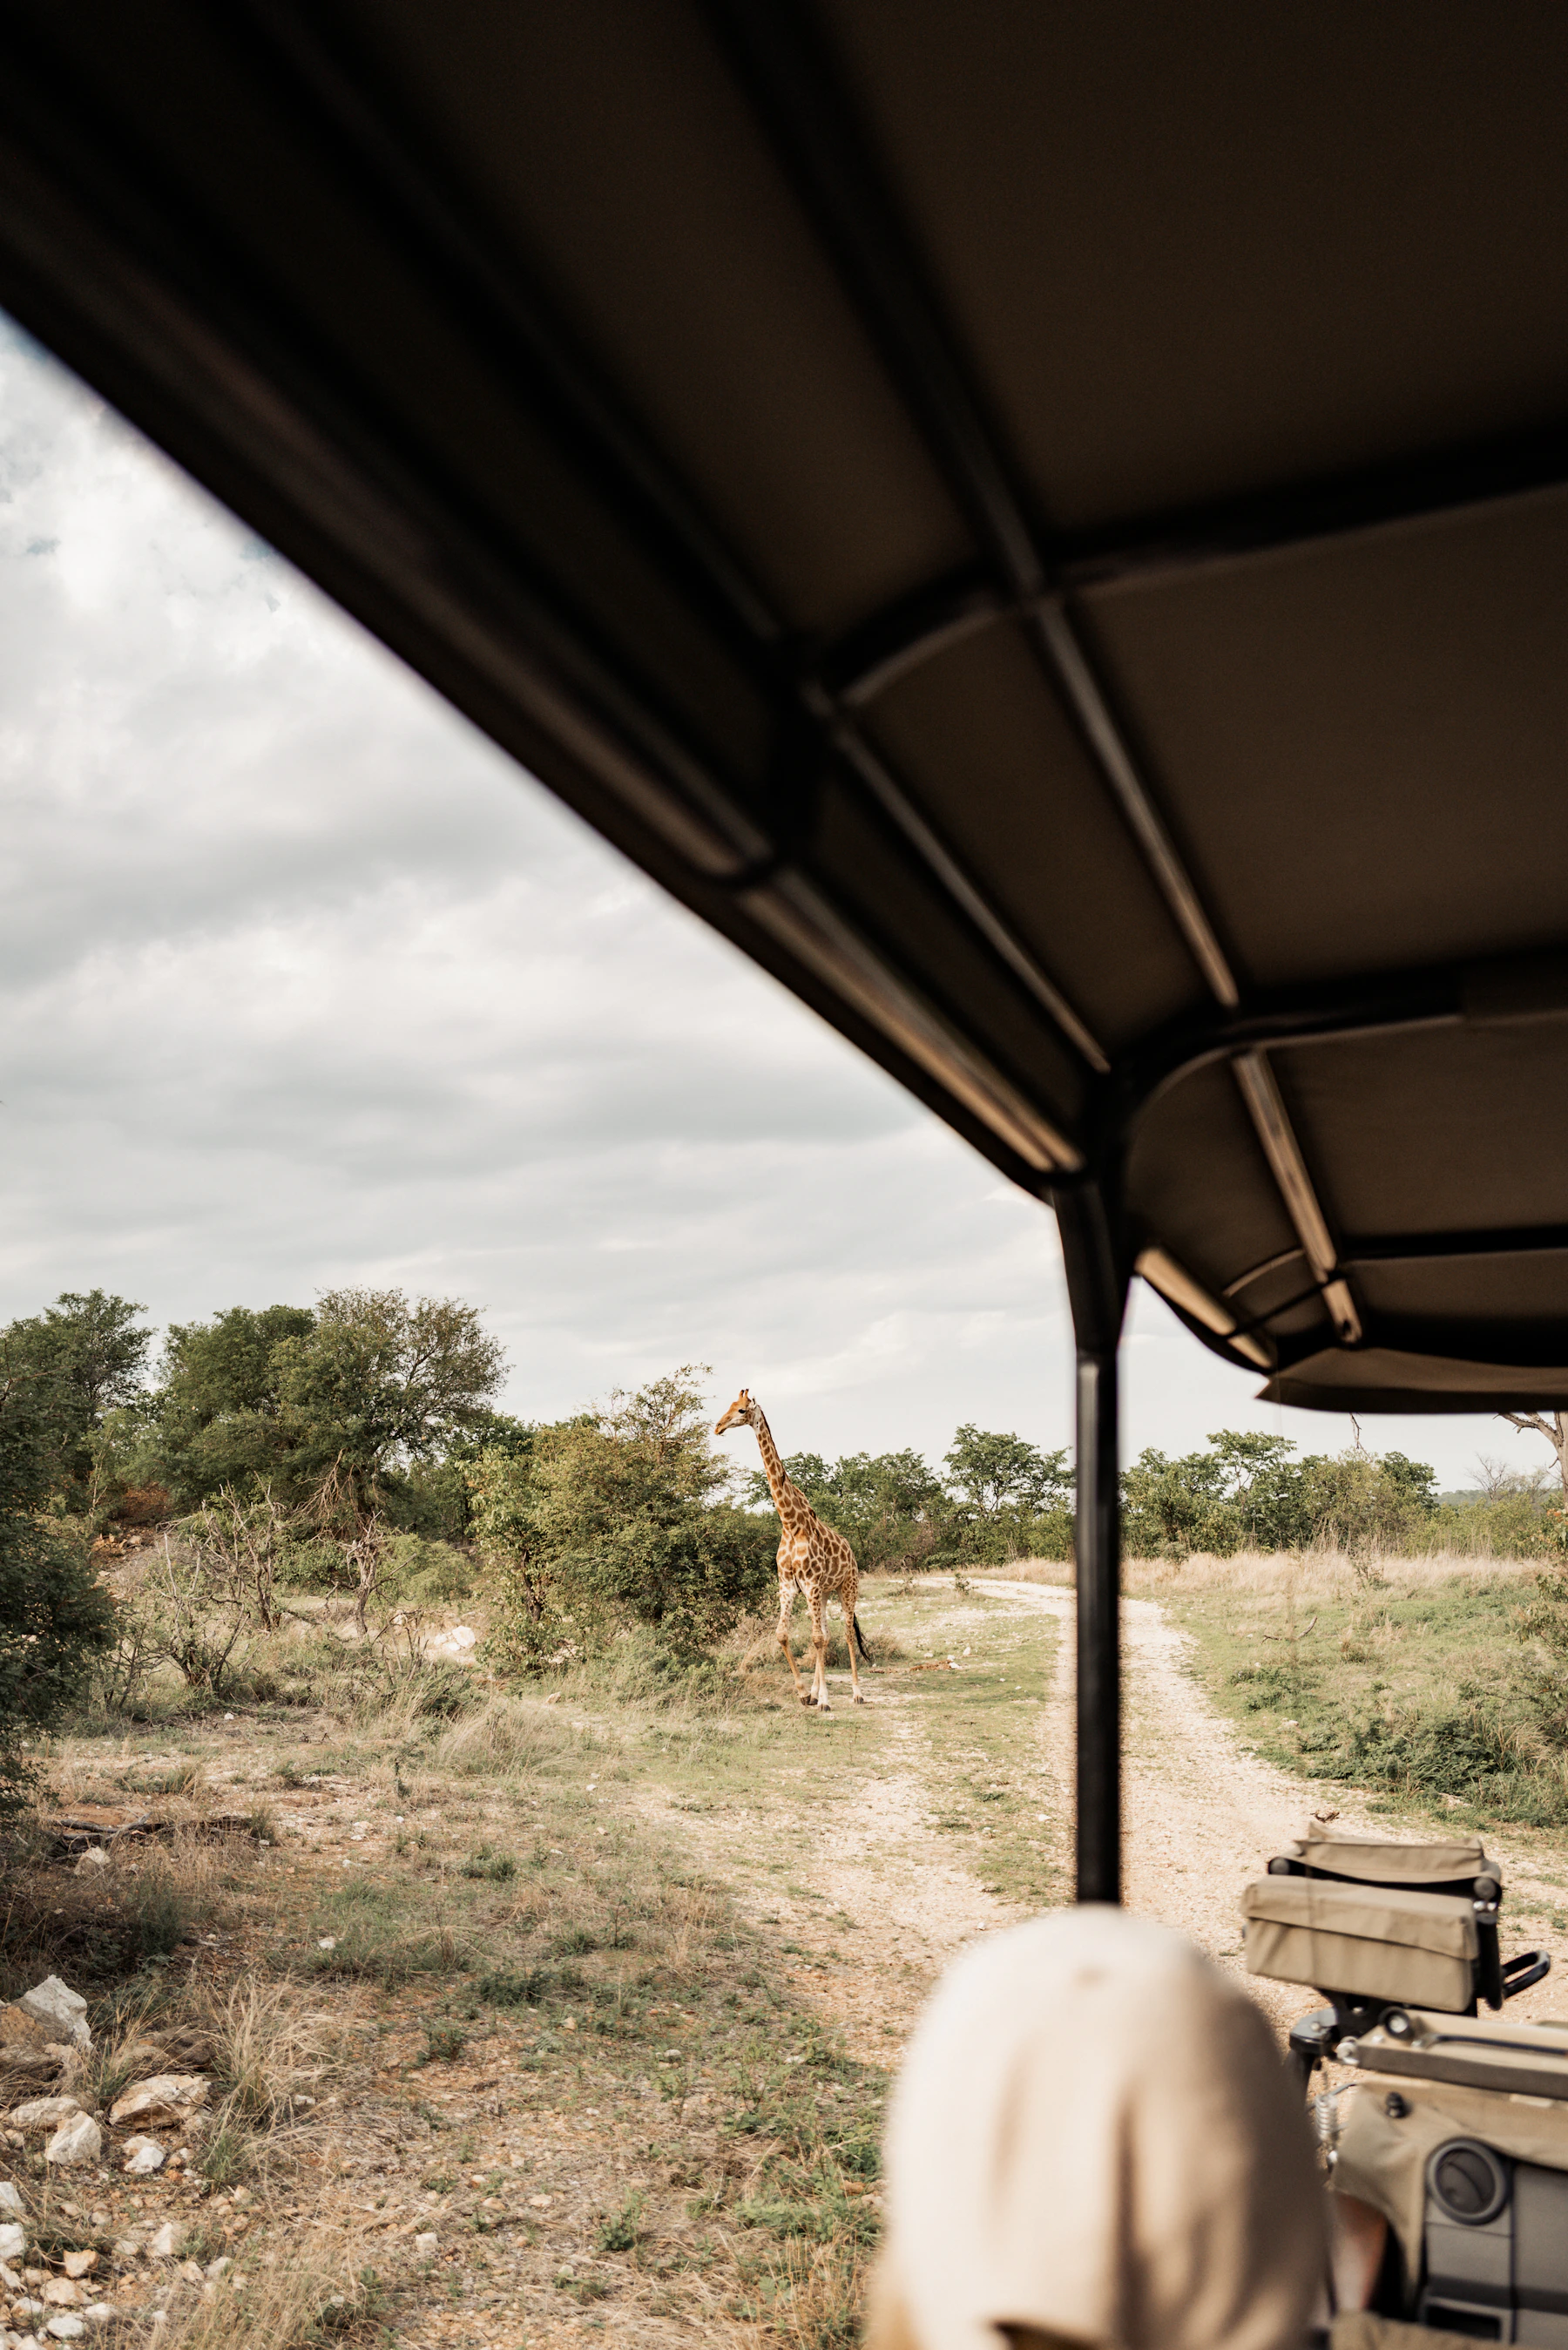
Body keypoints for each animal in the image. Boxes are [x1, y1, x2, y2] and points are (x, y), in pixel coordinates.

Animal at [714, 1388, 870, 1713]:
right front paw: (803, 1693)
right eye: (730, 1406)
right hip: (825, 1593)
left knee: (846, 1633)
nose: (718, 1427)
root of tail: (851, 1552)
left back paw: (856, 1693)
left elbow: (816, 1639)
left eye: (742, 1410)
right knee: (826, 1633)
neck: (789, 1523)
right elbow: (784, 1634)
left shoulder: (809, 1584)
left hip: (847, 1588)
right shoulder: (789, 1585)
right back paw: (816, 1691)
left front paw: (824, 1700)